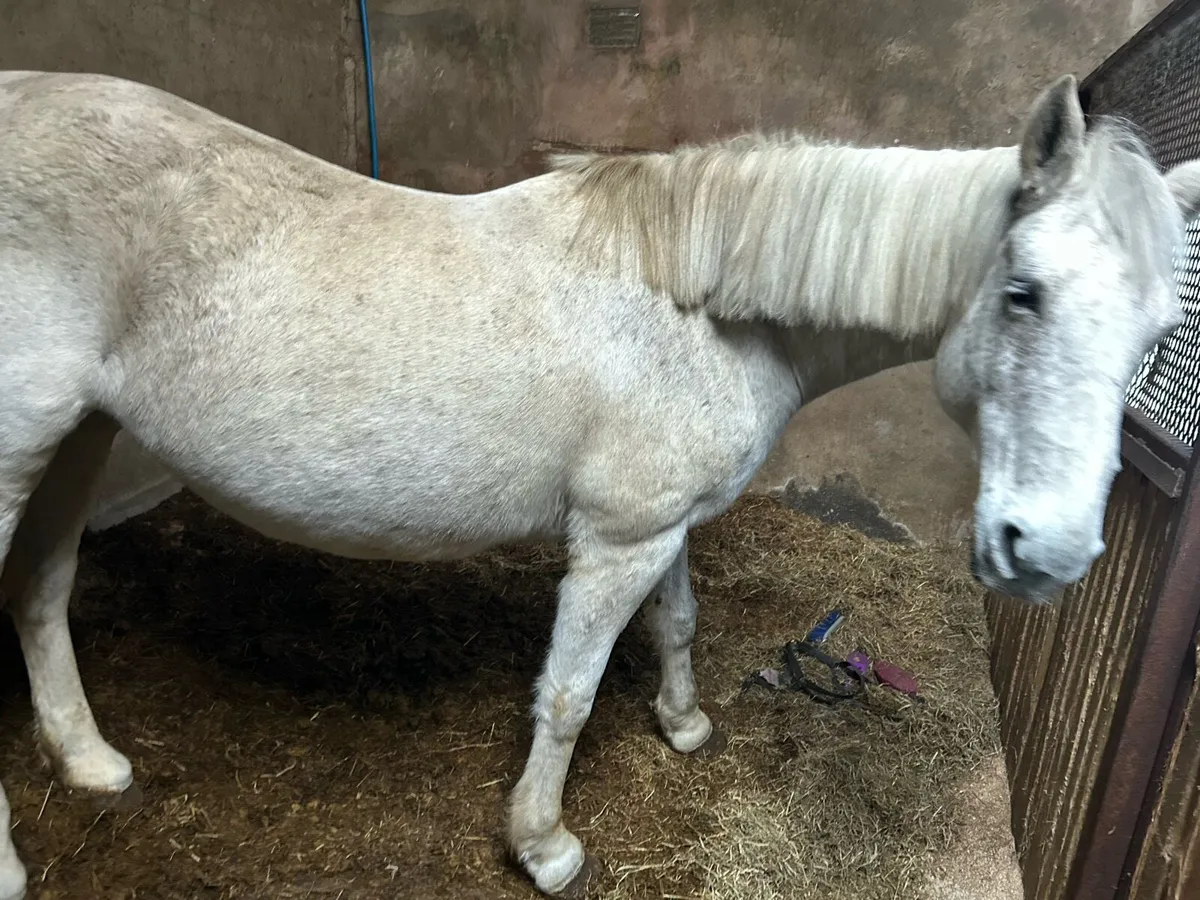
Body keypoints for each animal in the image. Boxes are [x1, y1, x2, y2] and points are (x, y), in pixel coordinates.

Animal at [0, 70, 1196, 899]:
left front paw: (683, 726)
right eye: (1025, 292)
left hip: (80, 438)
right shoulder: (617, 541)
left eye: (1157, 333)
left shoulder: (660, 528)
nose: (1047, 553)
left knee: (43, 593)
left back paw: (92, 763)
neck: (704, 303)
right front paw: (544, 846)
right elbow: (568, 693)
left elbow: (677, 623)